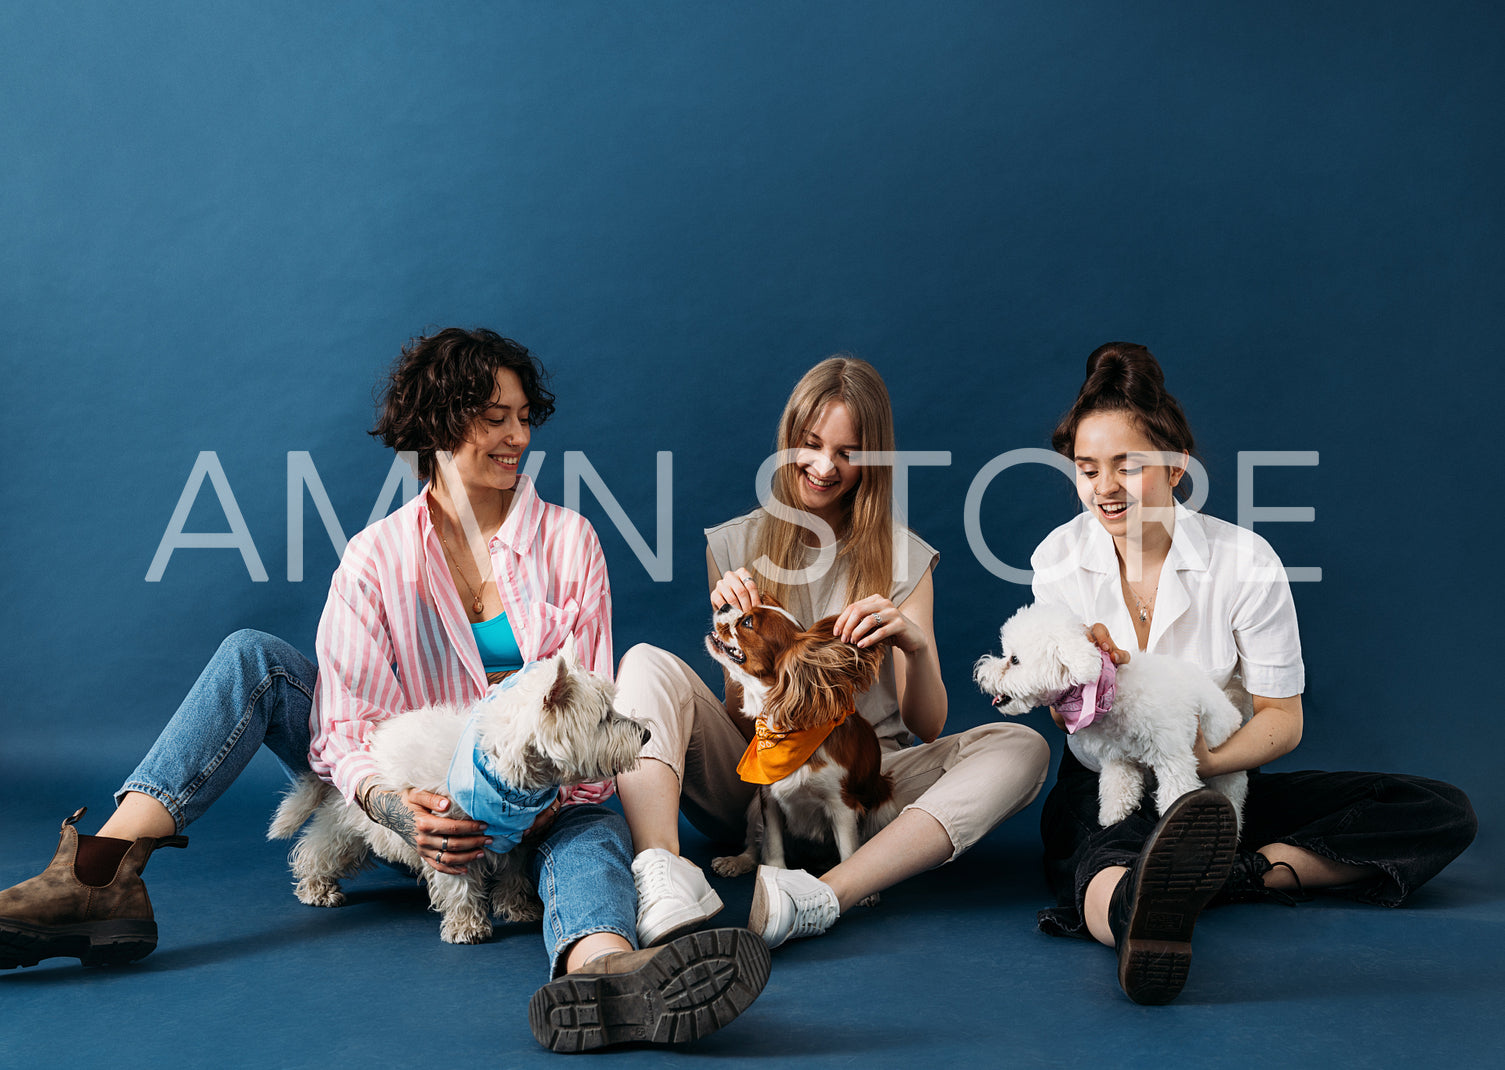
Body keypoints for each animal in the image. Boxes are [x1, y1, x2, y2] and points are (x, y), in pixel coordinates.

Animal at [270, 641, 647, 939]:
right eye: (603, 718)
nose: (646, 734)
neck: (500, 770)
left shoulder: (515, 839)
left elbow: (512, 874)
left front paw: (516, 908)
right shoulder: (450, 839)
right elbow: (460, 885)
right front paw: (467, 926)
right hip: (349, 823)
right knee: (317, 847)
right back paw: (316, 888)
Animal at [975, 601, 1246, 830]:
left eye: (1014, 659)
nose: (981, 674)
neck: (1110, 694)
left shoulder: (1173, 757)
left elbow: (1176, 793)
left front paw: (1177, 818)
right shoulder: (1117, 758)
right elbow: (1117, 786)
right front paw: (1113, 815)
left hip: (1228, 774)